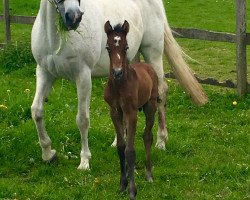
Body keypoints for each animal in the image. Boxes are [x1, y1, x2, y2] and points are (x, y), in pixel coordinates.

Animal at [30, 0, 207, 170]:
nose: (74, 17)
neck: (55, 38)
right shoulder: (44, 72)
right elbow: (36, 111)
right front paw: (48, 154)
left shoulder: (83, 76)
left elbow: (82, 119)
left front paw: (84, 161)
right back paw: (119, 140)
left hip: (153, 53)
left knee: (161, 93)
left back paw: (161, 141)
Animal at [104, 20, 159, 200]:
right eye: (108, 47)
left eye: (126, 47)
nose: (117, 72)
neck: (119, 85)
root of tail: (147, 66)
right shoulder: (115, 111)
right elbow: (121, 147)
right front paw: (123, 184)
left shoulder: (131, 112)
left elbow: (130, 150)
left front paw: (132, 190)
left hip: (150, 106)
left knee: (148, 136)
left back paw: (149, 174)